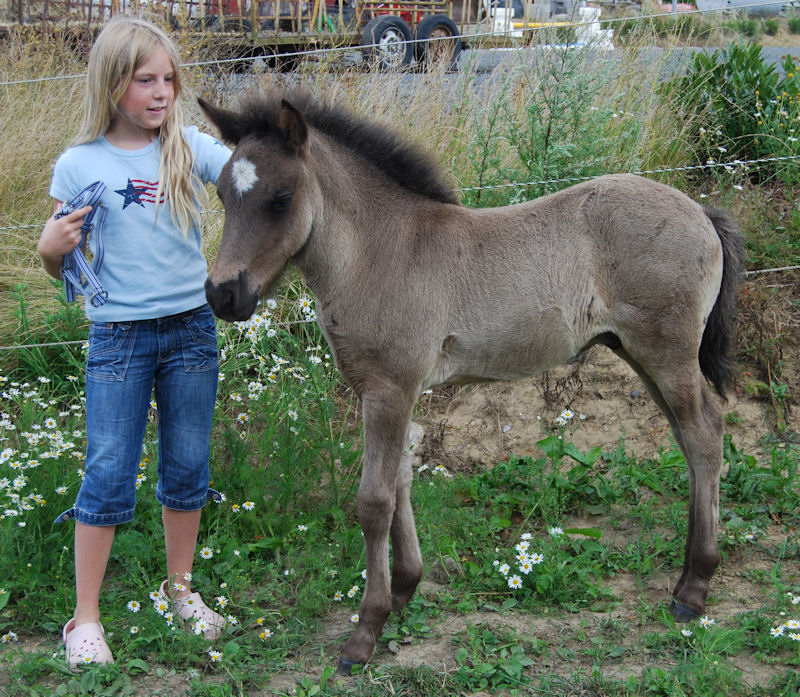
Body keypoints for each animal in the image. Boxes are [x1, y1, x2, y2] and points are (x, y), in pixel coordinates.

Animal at [198, 91, 744, 668]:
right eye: (222, 194)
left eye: (281, 198)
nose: (223, 294)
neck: (380, 252)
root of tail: (700, 211)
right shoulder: (390, 391)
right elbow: (402, 479)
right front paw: (404, 589)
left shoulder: (389, 389)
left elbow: (374, 501)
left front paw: (366, 631)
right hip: (640, 353)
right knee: (691, 438)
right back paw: (685, 575)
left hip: (667, 353)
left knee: (705, 434)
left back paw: (695, 587)